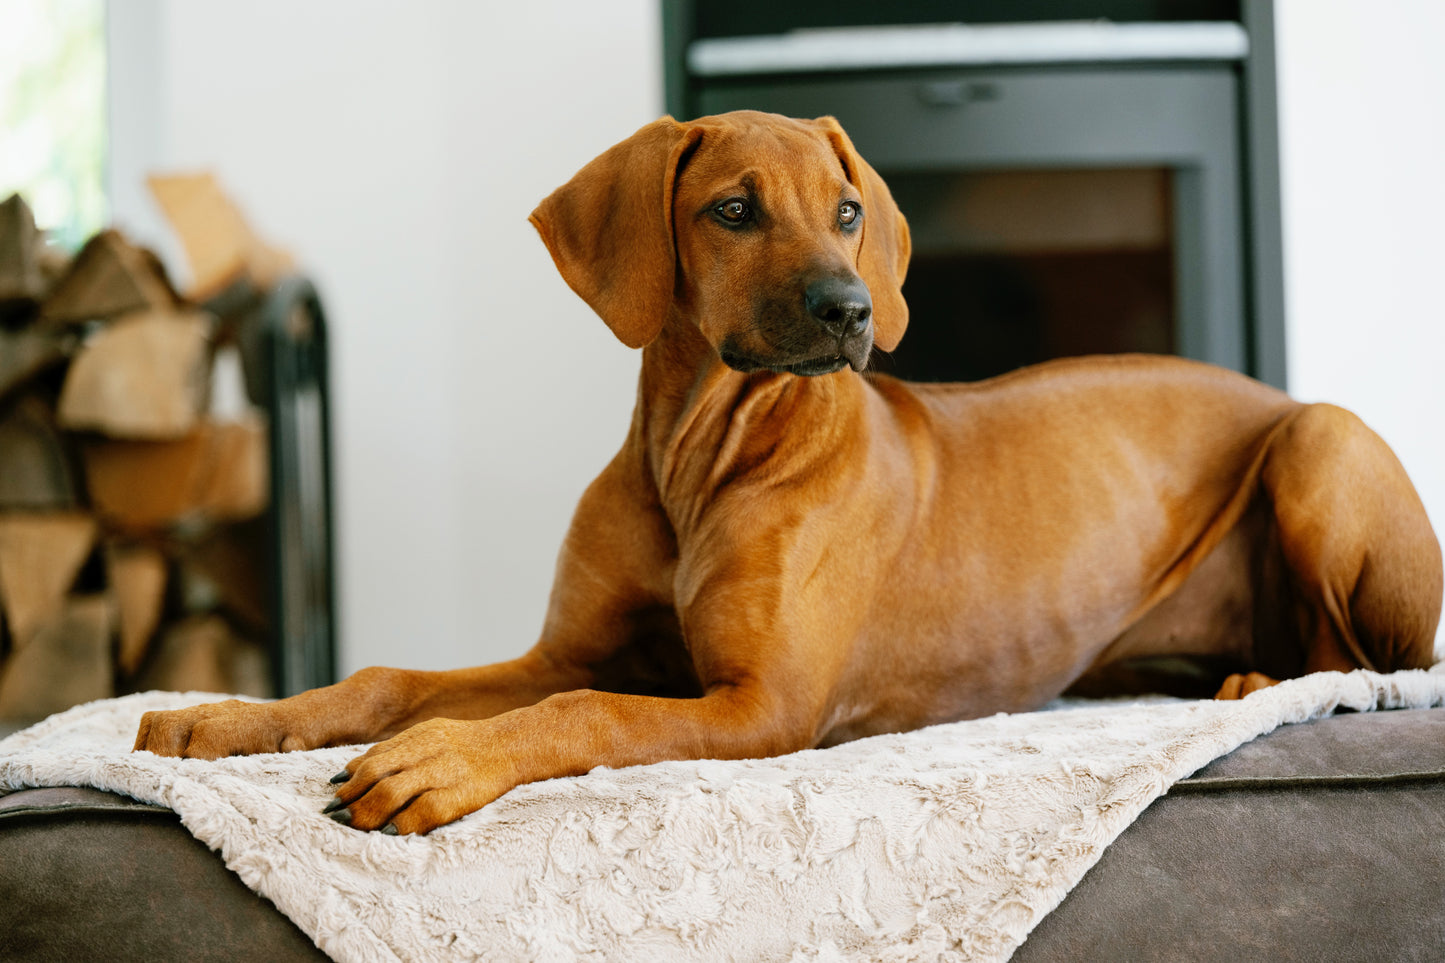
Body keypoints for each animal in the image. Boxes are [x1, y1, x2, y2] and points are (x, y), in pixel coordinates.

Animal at [130, 110, 1439, 832]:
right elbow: (394, 675)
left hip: (1316, 443)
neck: (699, 454)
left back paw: (1258, 683)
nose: (851, 312)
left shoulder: (761, 707)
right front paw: (228, 718)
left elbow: (585, 709)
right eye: (732, 209)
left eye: (849, 210)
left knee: (1372, 660)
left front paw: (441, 759)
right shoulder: (567, 648)